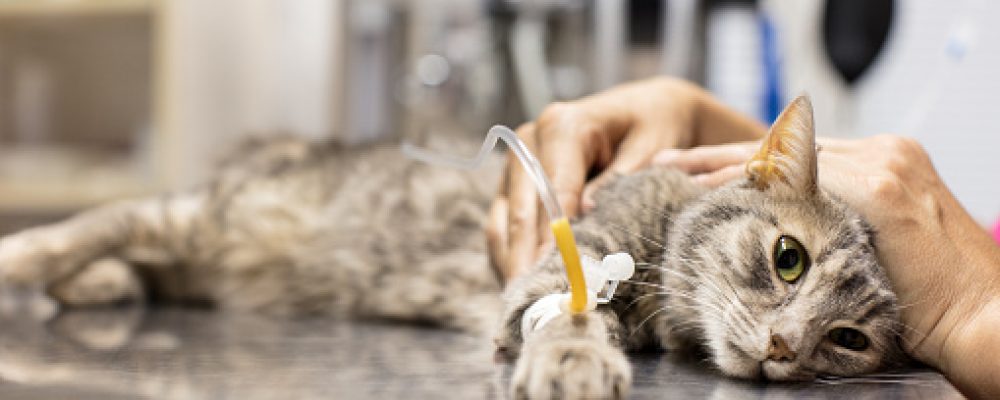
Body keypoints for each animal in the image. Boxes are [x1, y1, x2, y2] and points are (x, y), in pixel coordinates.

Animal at [0, 96, 904, 398]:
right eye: (787, 259)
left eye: (848, 340)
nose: (785, 348)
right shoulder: (564, 266)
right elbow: (577, 312)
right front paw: (578, 361)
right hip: (203, 215)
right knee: (95, 225)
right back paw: (40, 262)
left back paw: (104, 284)